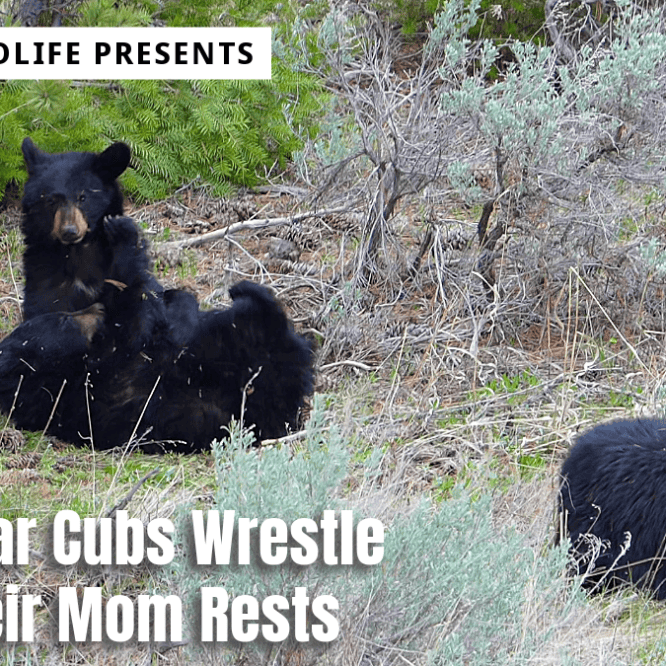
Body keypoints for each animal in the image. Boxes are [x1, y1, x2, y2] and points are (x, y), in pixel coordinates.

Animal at [0, 138, 314, 451]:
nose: (69, 230)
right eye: (51, 200)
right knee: (268, 320)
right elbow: (135, 318)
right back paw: (245, 294)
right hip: (254, 352)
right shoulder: (97, 359)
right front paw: (125, 237)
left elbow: (158, 303)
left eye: (83, 197)